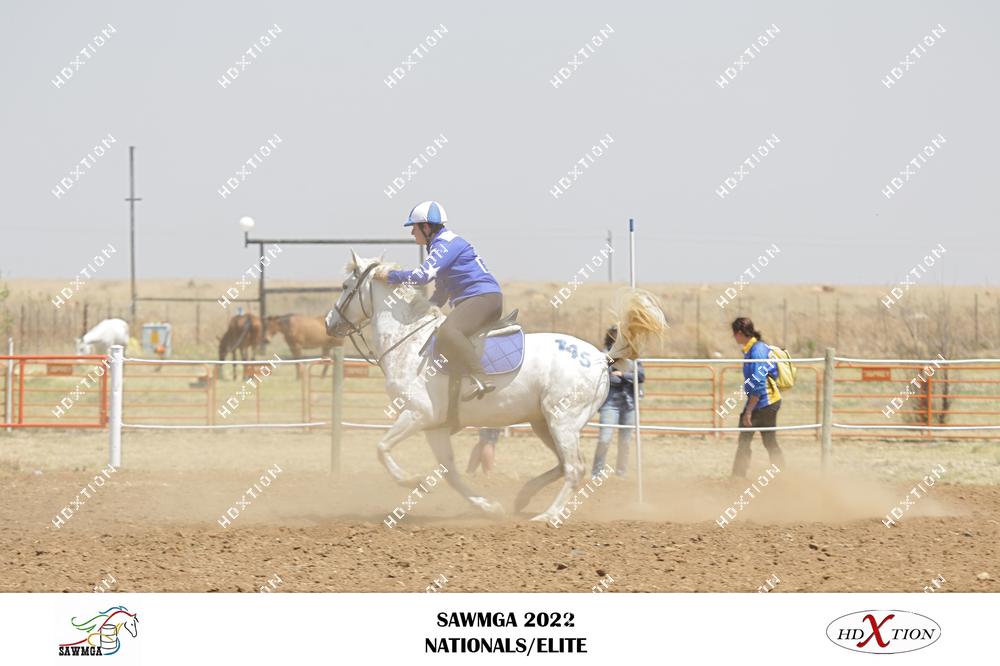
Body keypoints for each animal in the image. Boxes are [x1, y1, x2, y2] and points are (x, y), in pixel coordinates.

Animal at [325, 250, 666, 524]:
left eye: (344, 287)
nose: (329, 323)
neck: (408, 340)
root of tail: (600, 357)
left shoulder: (417, 414)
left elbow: (382, 448)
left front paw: (410, 480)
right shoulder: (434, 426)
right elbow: (450, 472)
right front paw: (488, 507)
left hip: (563, 421)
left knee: (574, 468)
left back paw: (548, 515)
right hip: (543, 421)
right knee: (561, 464)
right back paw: (523, 497)